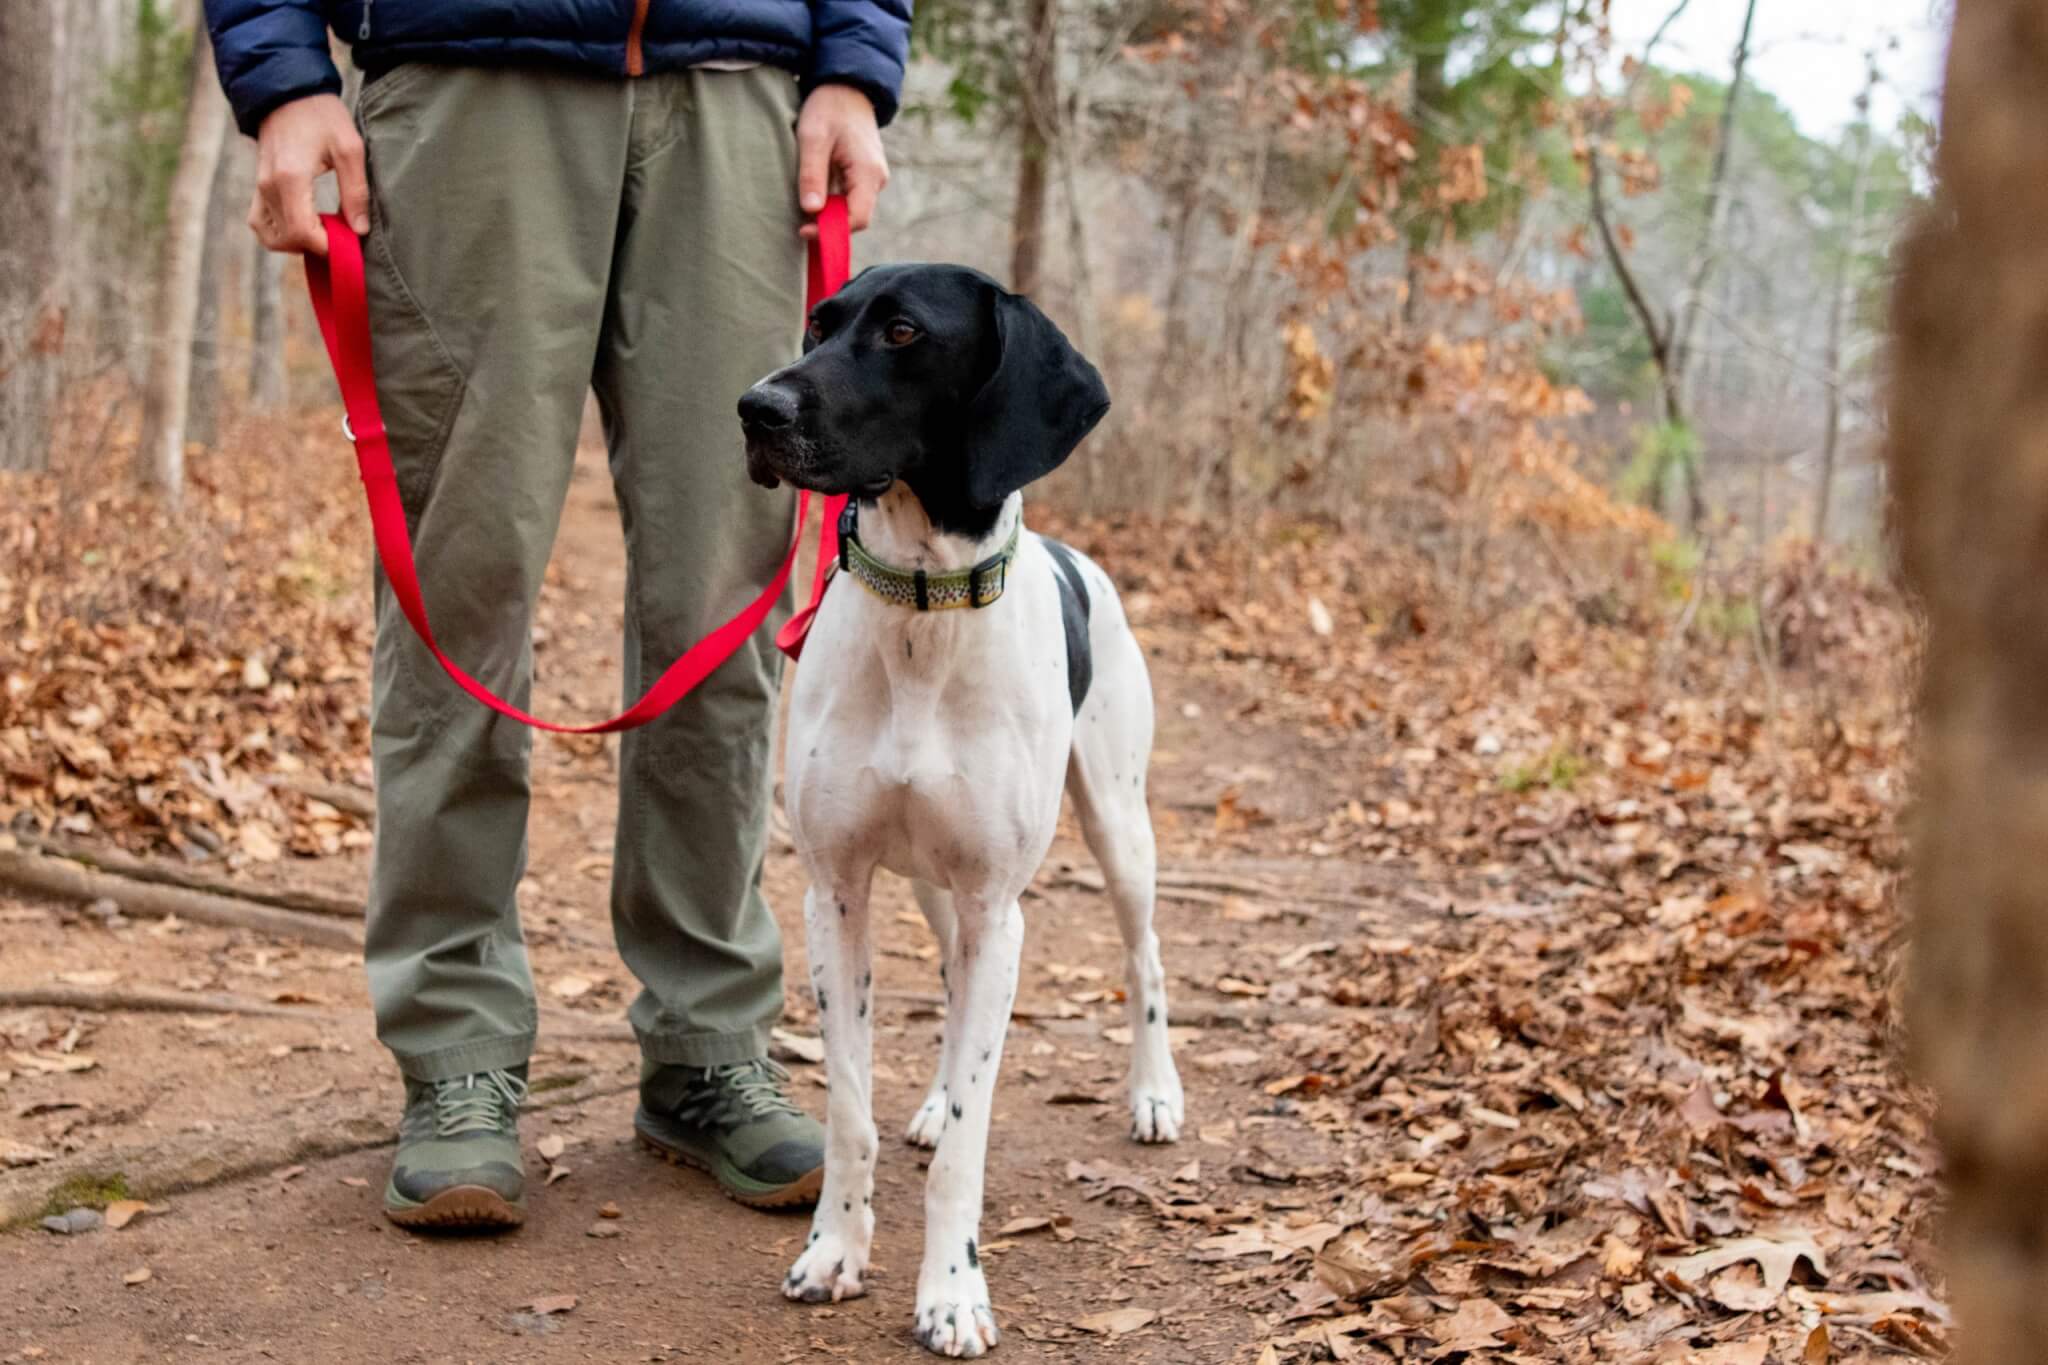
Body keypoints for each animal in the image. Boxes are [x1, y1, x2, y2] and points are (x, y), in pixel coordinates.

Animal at [741, 266, 1187, 1358]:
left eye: (903, 332)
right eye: (819, 323)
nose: (755, 409)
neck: (920, 605)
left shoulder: (999, 910)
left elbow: (968, 1151)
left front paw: (951, 1293)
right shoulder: (837, 893)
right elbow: (849, 1111)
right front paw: (835, 1251)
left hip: (1117, 829)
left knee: (1145, 955)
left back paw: (1153, 1092)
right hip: (937, 890)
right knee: (950, 986)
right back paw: (938, 1100)